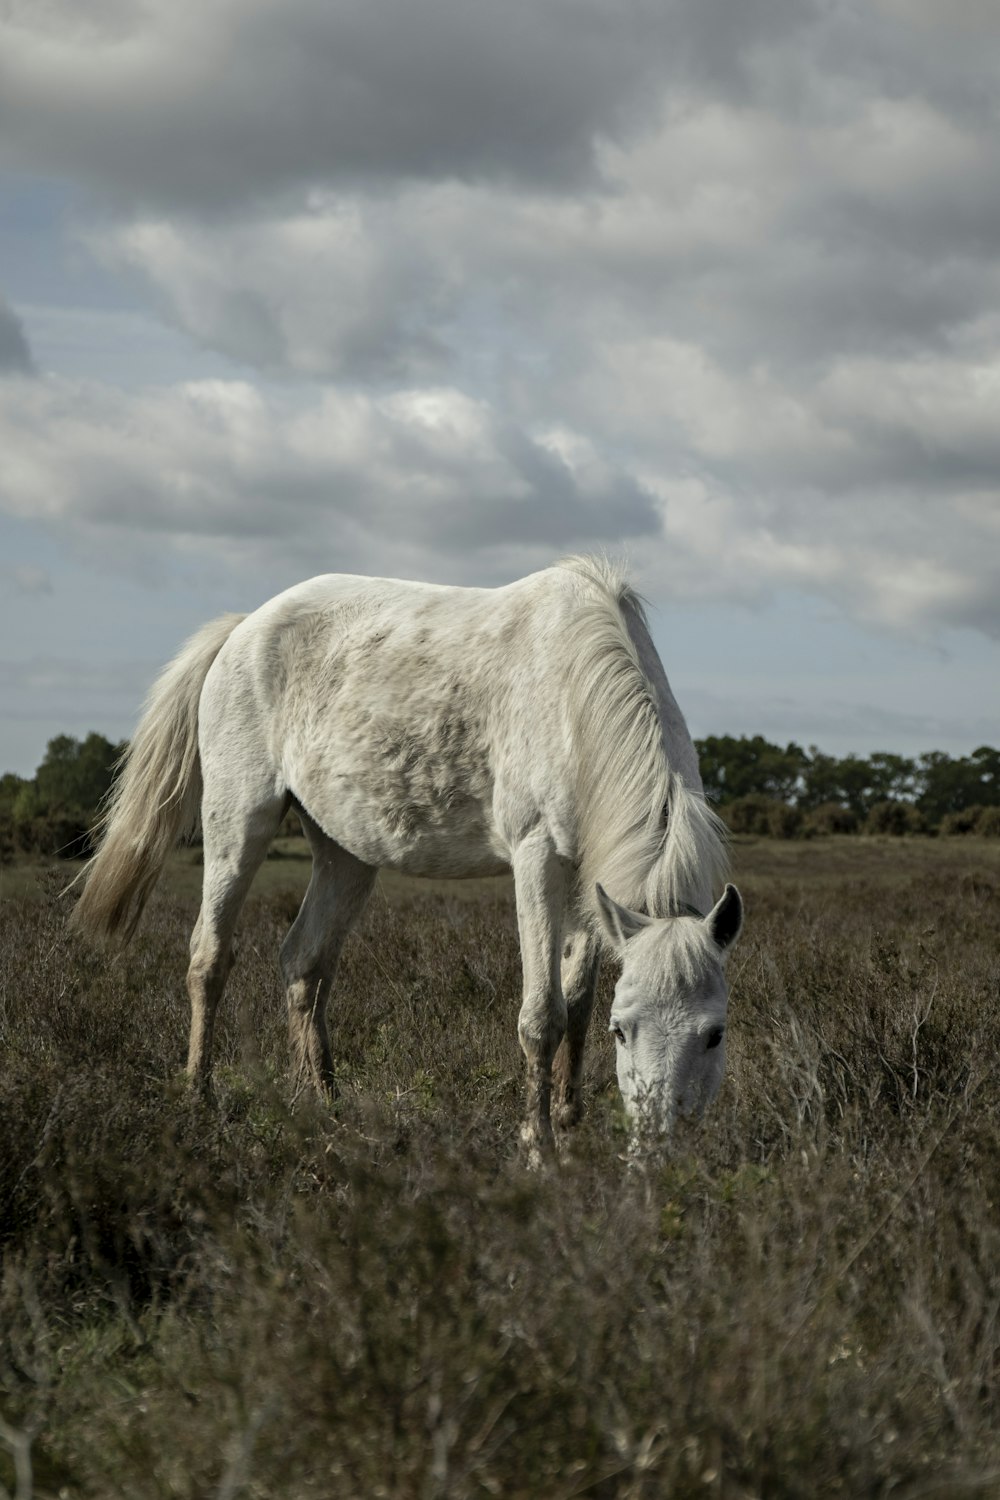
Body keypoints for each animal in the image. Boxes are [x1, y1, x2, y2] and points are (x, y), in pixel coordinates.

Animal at [72, 558, 743, 1152]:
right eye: (623, 1031)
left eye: (715, 1035)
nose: (659, 1148)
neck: (577, 698)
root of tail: (242, 630)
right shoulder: (538, 860)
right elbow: (542, 1017)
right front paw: (539, 1151)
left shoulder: (589, 884)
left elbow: (575, 1009)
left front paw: (571, 1134)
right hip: (238, 821)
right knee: (209, 958)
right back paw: (199, 1099)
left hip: (345, 856)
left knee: (304, 962)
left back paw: (325, 1109)